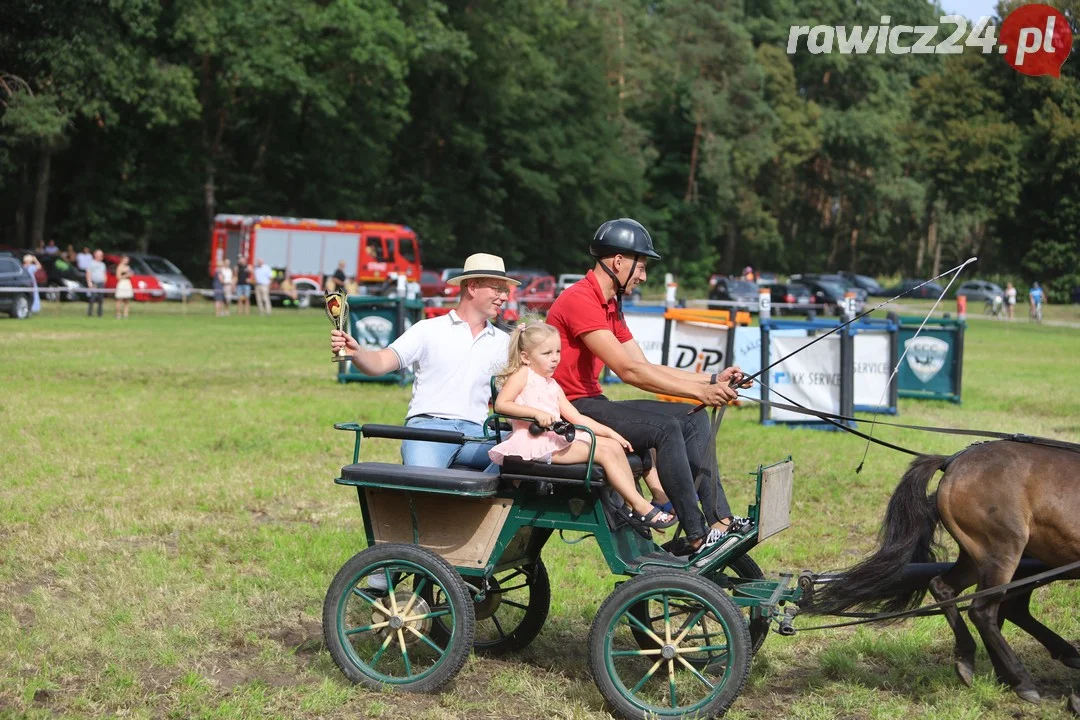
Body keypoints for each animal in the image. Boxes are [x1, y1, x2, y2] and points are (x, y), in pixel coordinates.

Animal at [812, 440, 1080, 703]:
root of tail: (953, 461)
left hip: (979, 557)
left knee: (947, 588)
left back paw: (972, 660)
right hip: (1003, 550)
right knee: (983, 611)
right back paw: (1021, 681)